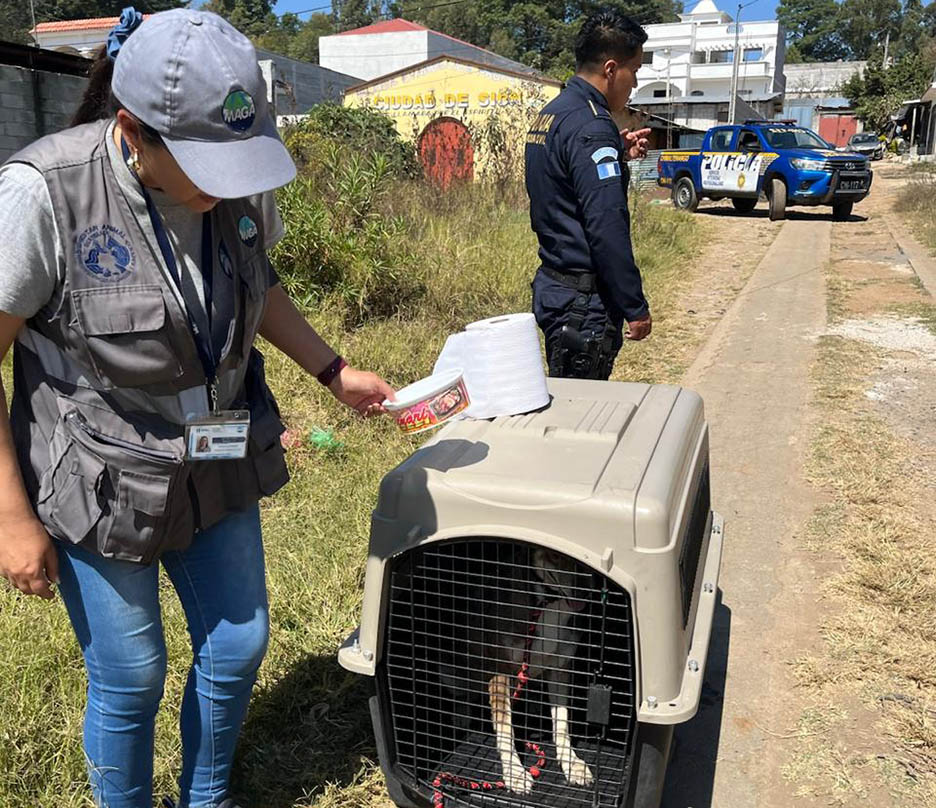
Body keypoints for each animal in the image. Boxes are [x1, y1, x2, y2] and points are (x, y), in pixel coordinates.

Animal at [342, 380, 724, 808]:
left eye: (584, 563)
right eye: (556, 558)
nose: (590, 591)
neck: (546, 609)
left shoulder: (561, 668)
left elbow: (562, 727)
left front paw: (573, 766)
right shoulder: (500, 675)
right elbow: (505, 733)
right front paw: (515, 776)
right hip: (453, 670)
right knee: (462, 703)